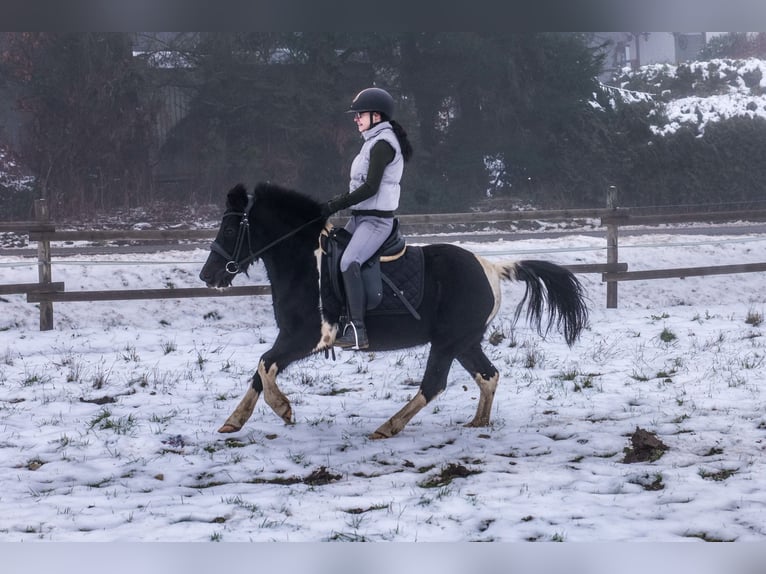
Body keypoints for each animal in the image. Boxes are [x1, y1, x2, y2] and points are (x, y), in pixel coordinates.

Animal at [198, 184, 588, 440]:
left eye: (230, 228)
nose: (207, 276)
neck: (305, 262)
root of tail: (491, 267)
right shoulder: (290, 337)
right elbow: (259, 371)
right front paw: (234, 421)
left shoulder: (308, 336)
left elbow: (265, 365)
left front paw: (283, 409)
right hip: (464, 342)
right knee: (487, 375)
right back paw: (478, 422)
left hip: (447, 343)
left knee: (434, 385)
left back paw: (388, 427)